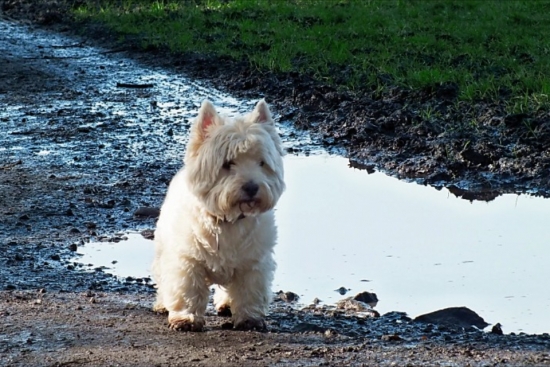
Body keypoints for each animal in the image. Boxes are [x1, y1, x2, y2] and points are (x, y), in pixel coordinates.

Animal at [153, 99, 286, 332]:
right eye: (227, 163)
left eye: (261, 163)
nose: (252, 187)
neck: (228, 220)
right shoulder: (187, 260)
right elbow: (187, 290)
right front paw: (186, 318)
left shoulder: (253, 263)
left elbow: (249, 290)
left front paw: (249, 319)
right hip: (163, 246)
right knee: (162, 276)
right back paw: (162, 304)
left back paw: (226, 304)